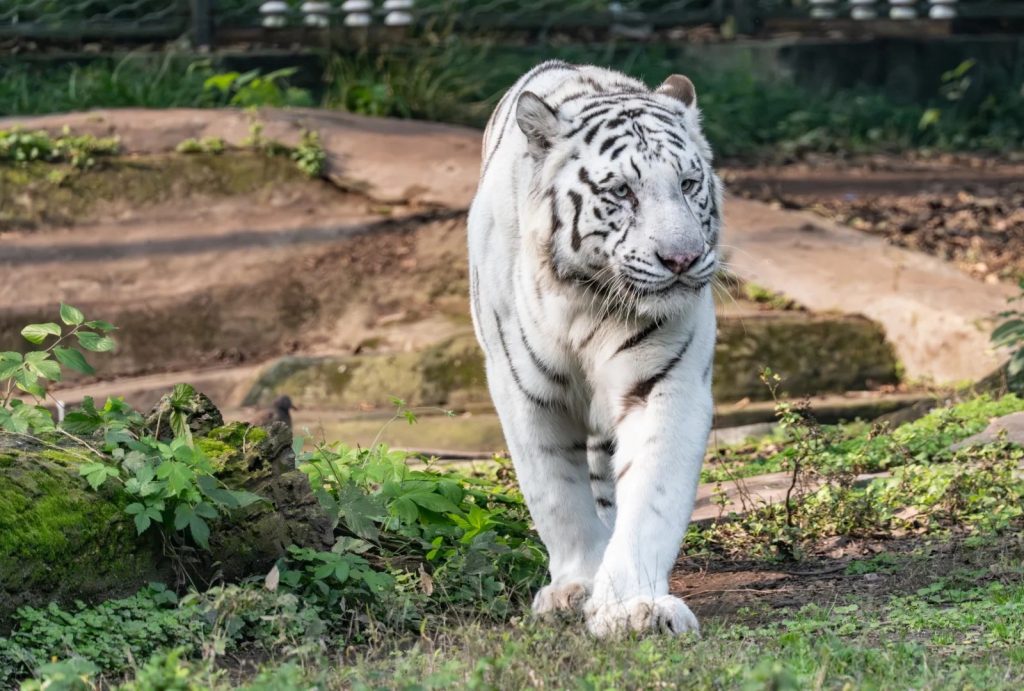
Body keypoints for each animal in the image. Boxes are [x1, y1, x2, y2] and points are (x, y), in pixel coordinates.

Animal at [467, 60, 722, 637]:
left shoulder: (664, 383)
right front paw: (576, 586)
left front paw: (633, 607)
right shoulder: (526, 392)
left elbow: (651, 495)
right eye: (622, 191)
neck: (591, 302)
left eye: (688, 183)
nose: (682, 259)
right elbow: (556, 494)